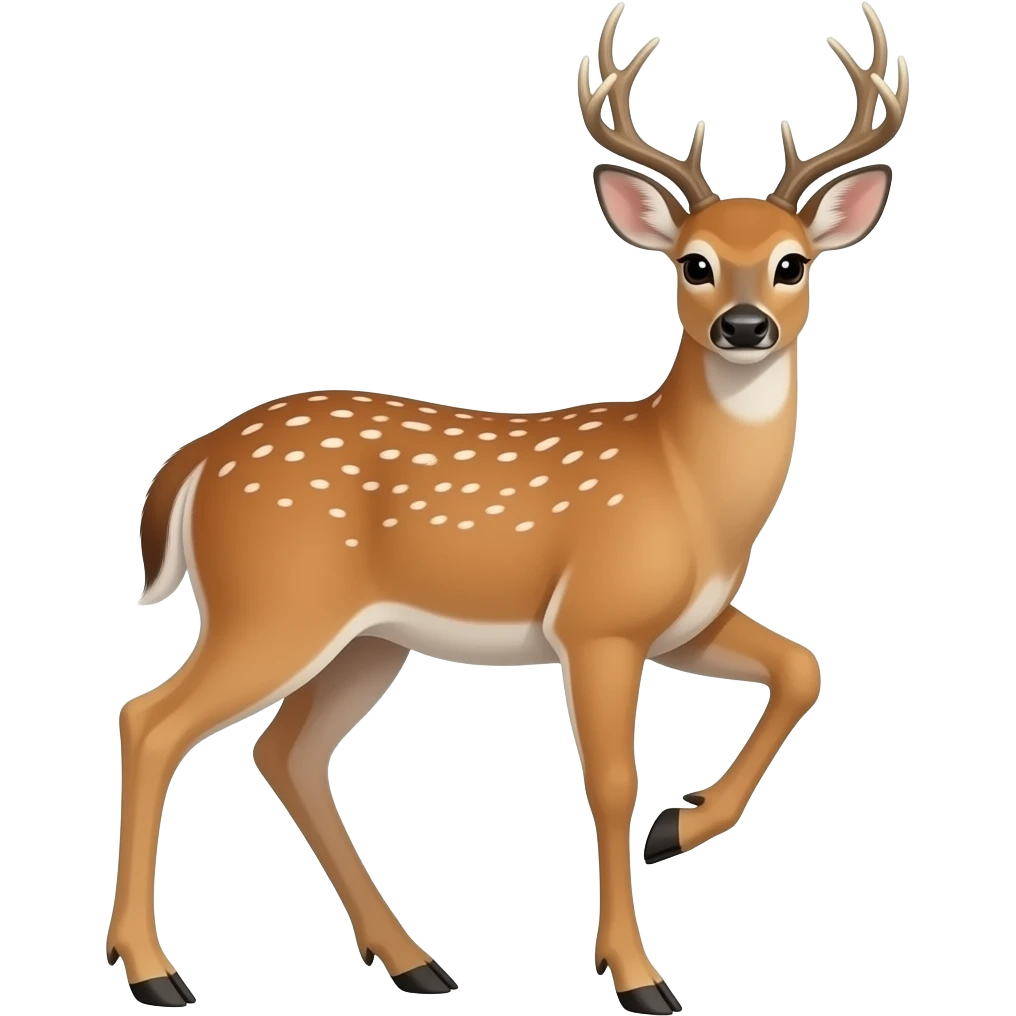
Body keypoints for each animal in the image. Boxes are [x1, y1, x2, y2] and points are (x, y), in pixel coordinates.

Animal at [112, 2, 908, 1010]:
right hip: (272, 602)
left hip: (366, 639)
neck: (687, 487)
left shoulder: (682, 621)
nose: (744, 326)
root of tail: (196, 459)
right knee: (152, 720)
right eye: (693, 264)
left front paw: (680, 827)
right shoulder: (598, 620)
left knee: (287, 752)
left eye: (792, 264)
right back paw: (155, 972)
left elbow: (803, 666)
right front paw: (639, 974)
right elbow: (611, 781)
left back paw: (415, 962)